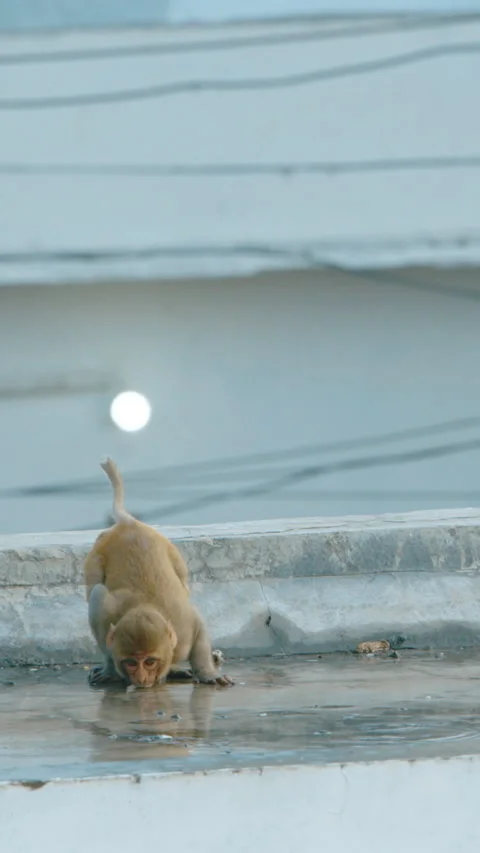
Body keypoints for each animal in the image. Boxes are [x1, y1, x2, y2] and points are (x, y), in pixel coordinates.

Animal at [84, 458, 233, 689]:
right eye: (131, 662)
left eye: (149, 661)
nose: (141, 679)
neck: (144, 606)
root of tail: (129, 523)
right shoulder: (106, 617)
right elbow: (104, 630)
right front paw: (110, 669)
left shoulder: (184, 629)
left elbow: (199, 627)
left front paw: (207, 672)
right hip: (95, 556)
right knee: (96, 590)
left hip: (172, 552)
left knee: (182, 582)